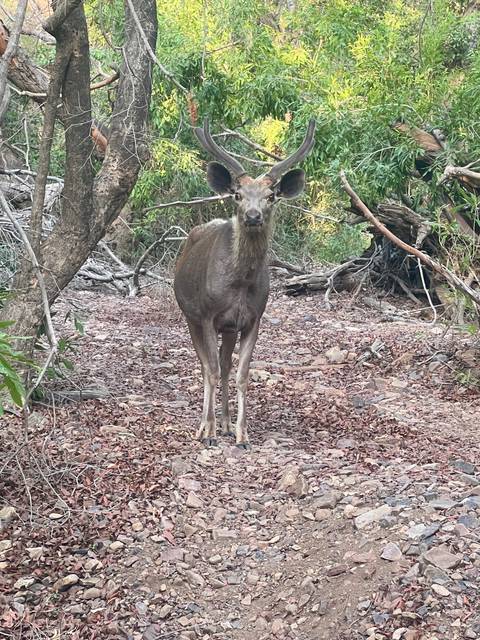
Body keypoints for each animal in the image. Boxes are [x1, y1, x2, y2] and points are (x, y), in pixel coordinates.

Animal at [174, 118, 316, 449]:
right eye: (237, 194)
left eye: (271, 196)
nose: (252, 216)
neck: (238, 285)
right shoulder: (208, 315)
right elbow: (211, 370)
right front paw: (210, 433)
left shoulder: (252, 319)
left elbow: (241, 374)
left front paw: (241, 433)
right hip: (190, 315)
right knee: (206, 366)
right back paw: (205, 427)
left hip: (228, 327)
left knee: (225, 367)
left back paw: (226, 424)